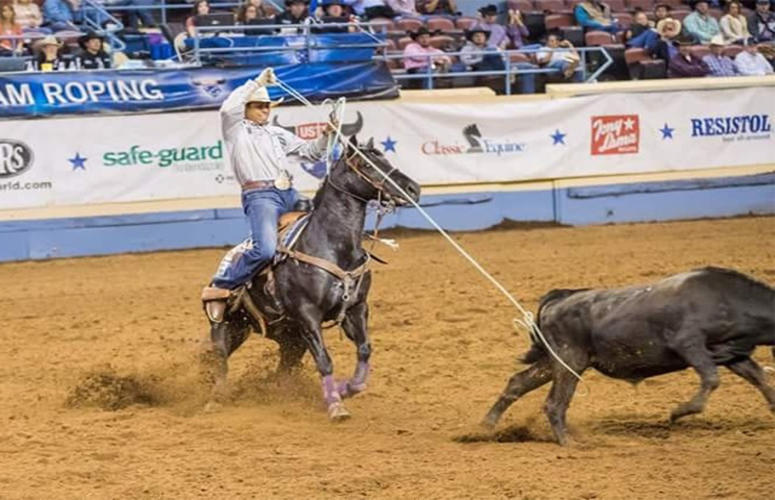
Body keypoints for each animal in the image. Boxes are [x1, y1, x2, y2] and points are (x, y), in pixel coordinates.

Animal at [200, 137, 418, 422]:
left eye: (385, 158)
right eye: (366, 164)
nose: (413, 189)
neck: (333, 246)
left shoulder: (356, 309)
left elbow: (364, 349)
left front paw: (346, 389)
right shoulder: (308, 315)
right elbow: (325, 360)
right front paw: (336, 407)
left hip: (287, 337)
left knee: (284, 367)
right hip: (227, 326)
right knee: (220, 359)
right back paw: (215, 399)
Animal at [484, 268, 775, 444]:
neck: (727, 299)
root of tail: (560, 299)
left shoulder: (732, 353)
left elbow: (759, 377)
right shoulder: (689, 344)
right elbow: (712, 379)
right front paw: (678, 413)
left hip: (553, 361)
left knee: (518, 383)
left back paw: (485, 427)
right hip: (569, 362)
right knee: (555, 403)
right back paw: (568, 442)